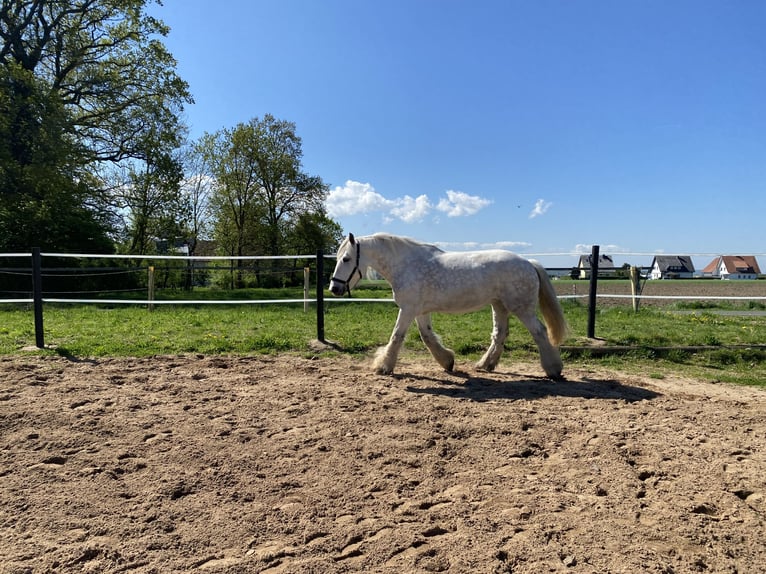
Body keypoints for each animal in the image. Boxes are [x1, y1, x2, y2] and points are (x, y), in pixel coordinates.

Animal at [329, 232, 568, 379]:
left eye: (347, 259)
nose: (334, 288)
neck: (406, 265)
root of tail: (529, 263)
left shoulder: (407, 309)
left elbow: (396, 336)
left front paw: (383, 366)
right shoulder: (419, 311)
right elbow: (427, 337)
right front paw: (447, 362)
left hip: (521, 308)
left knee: (539, 332)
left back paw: (553, 370)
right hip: (499, 305)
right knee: (499, 334)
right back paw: (484, 365)